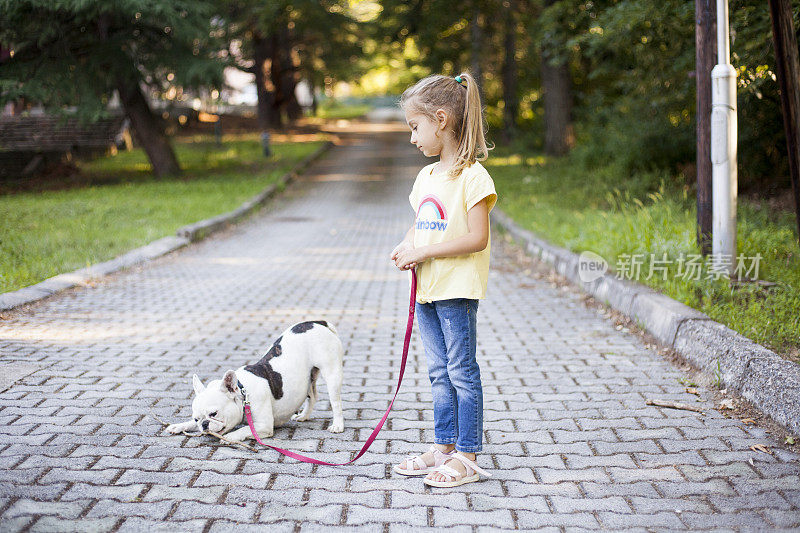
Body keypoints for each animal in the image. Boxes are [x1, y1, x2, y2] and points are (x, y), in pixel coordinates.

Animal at [166, 320, 344, 440]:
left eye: (214, 413)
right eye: (197, 419)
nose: (204, 424)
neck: (244, 392)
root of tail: (317, 323)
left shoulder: (264, 426)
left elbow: (245, 430)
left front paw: (231, 437)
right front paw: (180, 425)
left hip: (332, 373)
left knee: (335, 402)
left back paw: (337, 425)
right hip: (309, 377)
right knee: (312, 396)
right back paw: (304, 416)